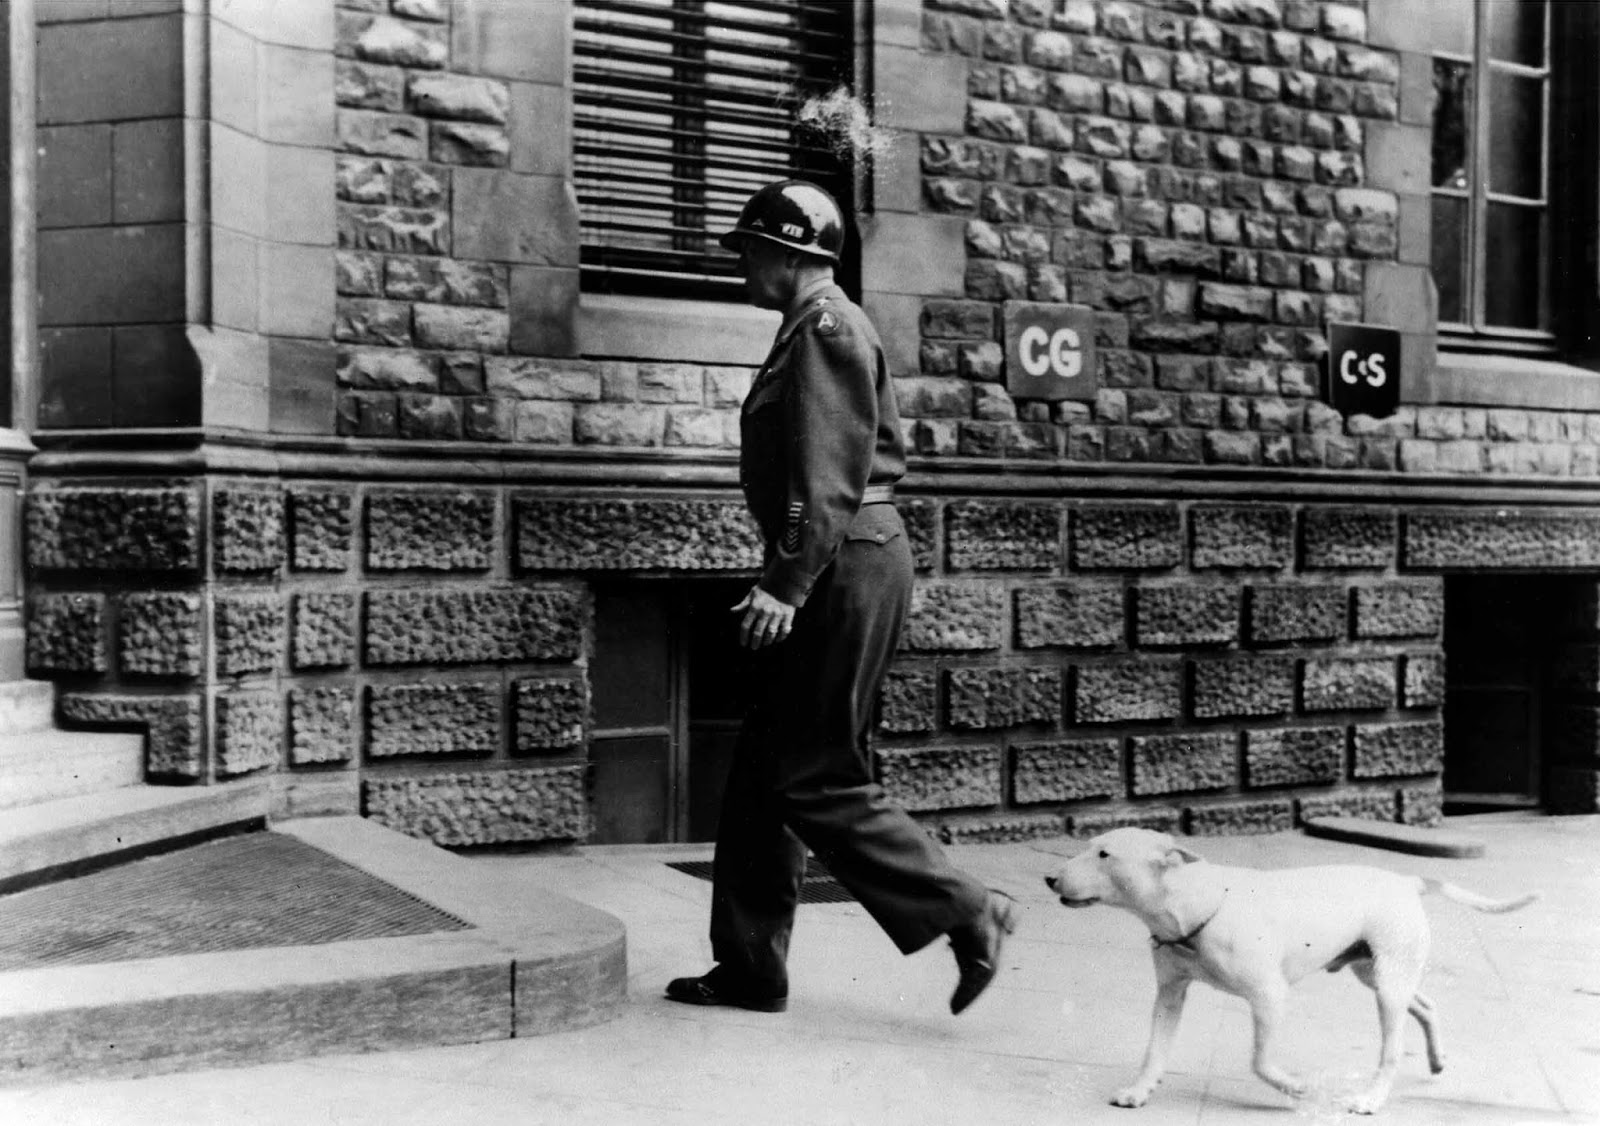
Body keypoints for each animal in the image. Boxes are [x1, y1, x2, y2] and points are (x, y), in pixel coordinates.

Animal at [1043, 825, 1542, 1119]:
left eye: (1104, 854)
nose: (1050, 879)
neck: (1195, 908)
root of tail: (1408, 881)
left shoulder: (1269, 997)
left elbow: (1260, 1061)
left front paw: (1296, 1088)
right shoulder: (1170, 994)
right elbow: (1154, 1050)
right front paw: (1140, 1090)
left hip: (1387, 985)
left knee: (1391, 1049)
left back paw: (1370, 1099)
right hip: (1376, 973)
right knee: (1425, 1004)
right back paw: (1437, 1058)